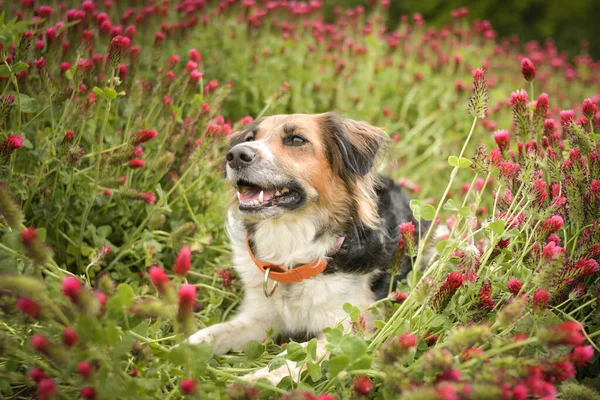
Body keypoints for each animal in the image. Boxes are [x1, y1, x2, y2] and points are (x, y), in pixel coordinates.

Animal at [188, 114, 422, 382]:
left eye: (296, 140)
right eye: (249, 138)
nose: (236, 155)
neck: (292, 260)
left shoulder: (349, 331)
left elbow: (292, 357)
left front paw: (256, 381)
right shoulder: (259, 317)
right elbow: (215, 332)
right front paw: (182, 348)